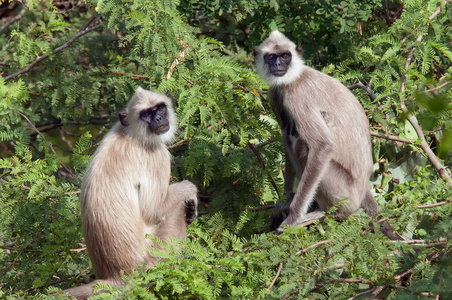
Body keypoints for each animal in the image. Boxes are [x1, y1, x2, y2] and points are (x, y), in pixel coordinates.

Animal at [55, 86, 197, 298]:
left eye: (160, 108)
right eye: (146, 114)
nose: (158, 119)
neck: (131, 134)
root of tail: (115, 275)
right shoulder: (156, 155)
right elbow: (153, 209)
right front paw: (191, 192)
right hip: (153, 258)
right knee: (174, 211)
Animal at [254, 30, 402, 240]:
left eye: (284, 56)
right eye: (271, 57)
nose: (277, 65)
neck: (295, 78)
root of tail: (363, 188)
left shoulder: (297, 96)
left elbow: (322, 146)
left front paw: (293, 218)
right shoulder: (275, 94)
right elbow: (284, 134)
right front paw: (286, 200)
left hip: (345, 192)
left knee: (302, 145)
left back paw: (325, 211)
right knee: (289, 135)